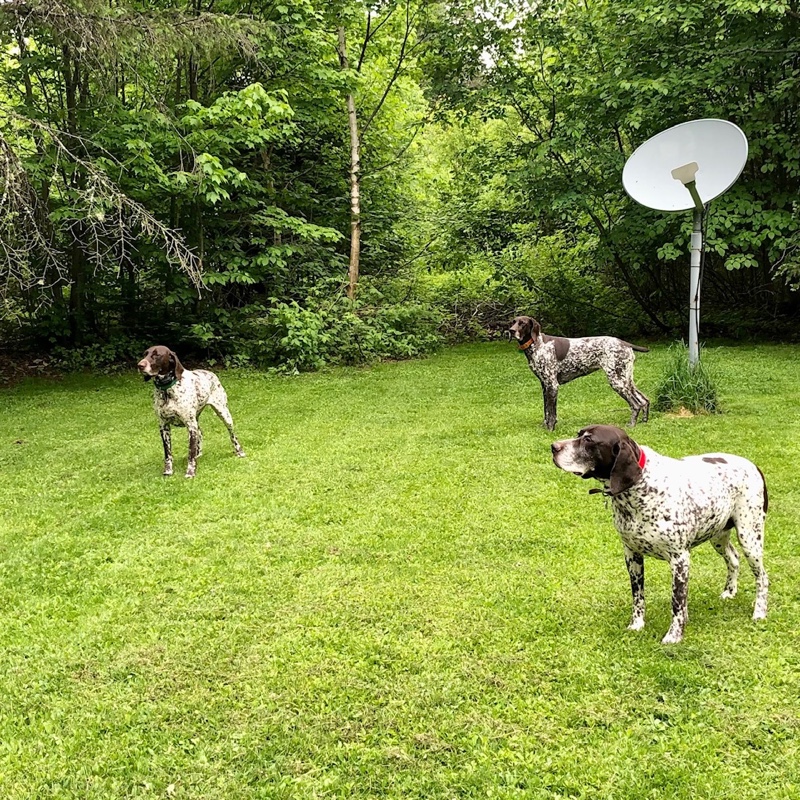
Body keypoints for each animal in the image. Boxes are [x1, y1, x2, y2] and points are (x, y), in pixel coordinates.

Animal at [138, 346, 245, 482]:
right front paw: (168, 471)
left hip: (224, 414)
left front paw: (190, 473)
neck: (167, 390)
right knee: (200, 433)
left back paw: (239, 451)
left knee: (232, 435)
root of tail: (210, 373)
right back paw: (199, 454)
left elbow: (190, 453)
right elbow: (168, 453)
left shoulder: (190, 426)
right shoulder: (164, 427)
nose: (140, 365)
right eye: (145, 354)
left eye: (157, 355)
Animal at [510, 318, 652, 432]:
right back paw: (644, 421)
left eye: (522, 323)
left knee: (636, 404)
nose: (511, 331)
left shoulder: (552, 385)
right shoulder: (545, 386)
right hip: (626, 380)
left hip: (617, 381)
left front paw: (550, 429)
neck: (537, 344)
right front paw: (545, 426)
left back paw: (631, 425)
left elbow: (551, 413)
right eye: (513, 322)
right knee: (644, 400)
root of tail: (625, 343)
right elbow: (546, 411)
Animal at [552, 424, 768, 644]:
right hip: (718, 535)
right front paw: (637, 625)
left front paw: (674, 635)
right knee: (733, 558)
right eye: (579, 435)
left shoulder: (679, 559)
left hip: (750, 537)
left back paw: (759, 612)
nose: (554, 447)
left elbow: (677, 601)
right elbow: (638, 597)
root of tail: (753, 466)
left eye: (589, 440)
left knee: (762, 577)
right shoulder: (632, 555)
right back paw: (729, 592)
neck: (639, 489)